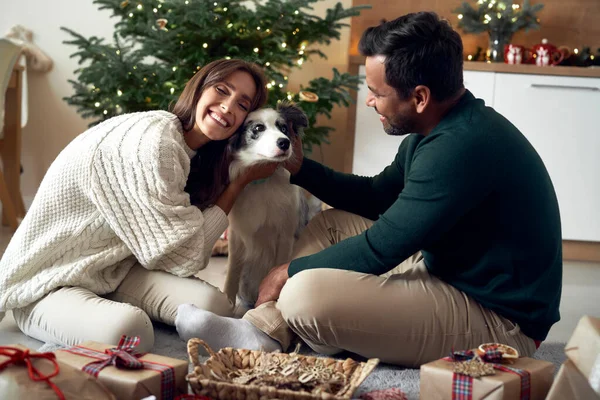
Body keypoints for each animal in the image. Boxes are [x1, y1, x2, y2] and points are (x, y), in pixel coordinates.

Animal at [223, 101, 312, 308]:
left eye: (284, 128)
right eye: (258, 128)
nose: (285, 142)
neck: (263, 182)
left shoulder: (285, 235)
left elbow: (276, 269)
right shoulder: (236, 234)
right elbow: (232, 269)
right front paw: (226, 302)